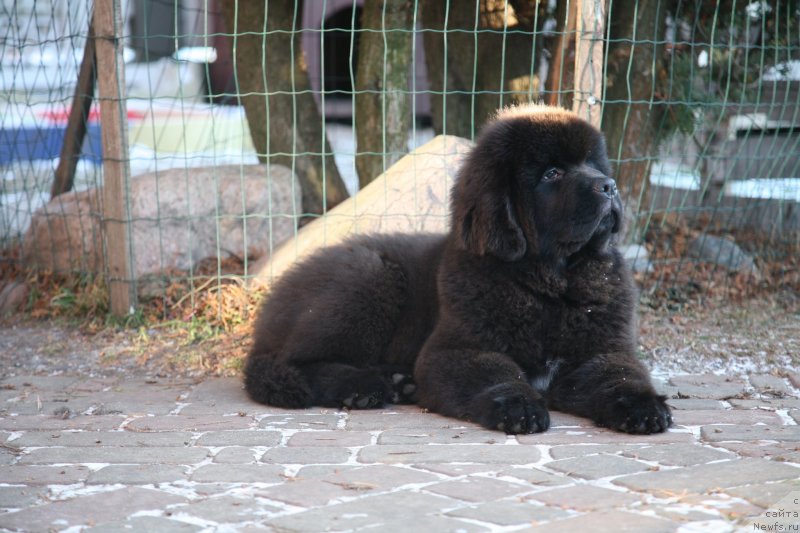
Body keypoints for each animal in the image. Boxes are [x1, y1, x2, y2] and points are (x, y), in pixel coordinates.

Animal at [242, 104, 668, 432]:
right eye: (552, 174)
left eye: (592, 165)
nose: (609, 186)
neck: (549, 286)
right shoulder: (457, 349)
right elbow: (497, 372)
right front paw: (519, 406)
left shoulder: (602, 348)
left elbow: (620, 372)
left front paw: (645, 406)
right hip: (368, 278)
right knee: (295, 361)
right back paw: (362, 385)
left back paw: (398, 381)